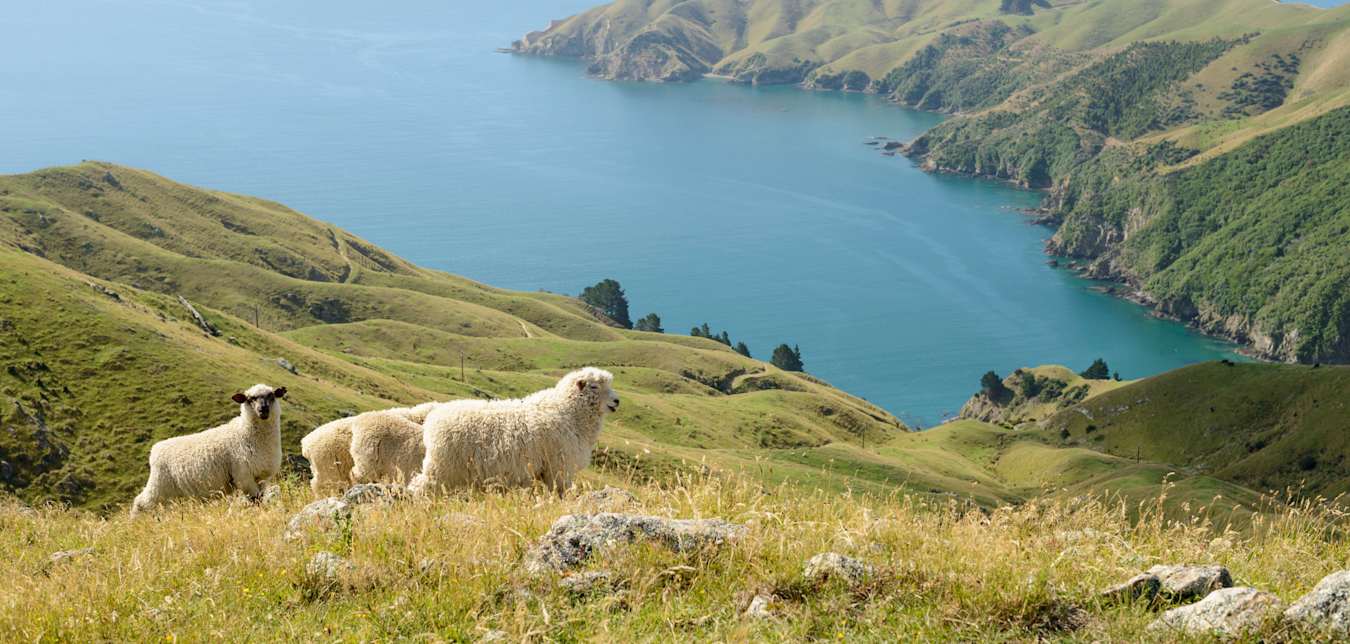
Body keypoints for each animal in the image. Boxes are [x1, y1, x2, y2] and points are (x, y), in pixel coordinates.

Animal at [131, 384, 287, 516]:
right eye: (250, 399)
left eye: (271, 396)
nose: (263, 410)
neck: (245, 433)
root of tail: (155, 449)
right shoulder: (244, 476)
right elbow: (256, 500)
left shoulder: (262, 477)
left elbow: (260, 498)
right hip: (159, 485)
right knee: (141, 503)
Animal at [410, 368, 619, 496]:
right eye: (594, 386)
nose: (617, 401)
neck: (568, 410)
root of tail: (433, 418)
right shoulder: (558, 466)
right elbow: (560, 491)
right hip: (443, 467)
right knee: (420, 485)